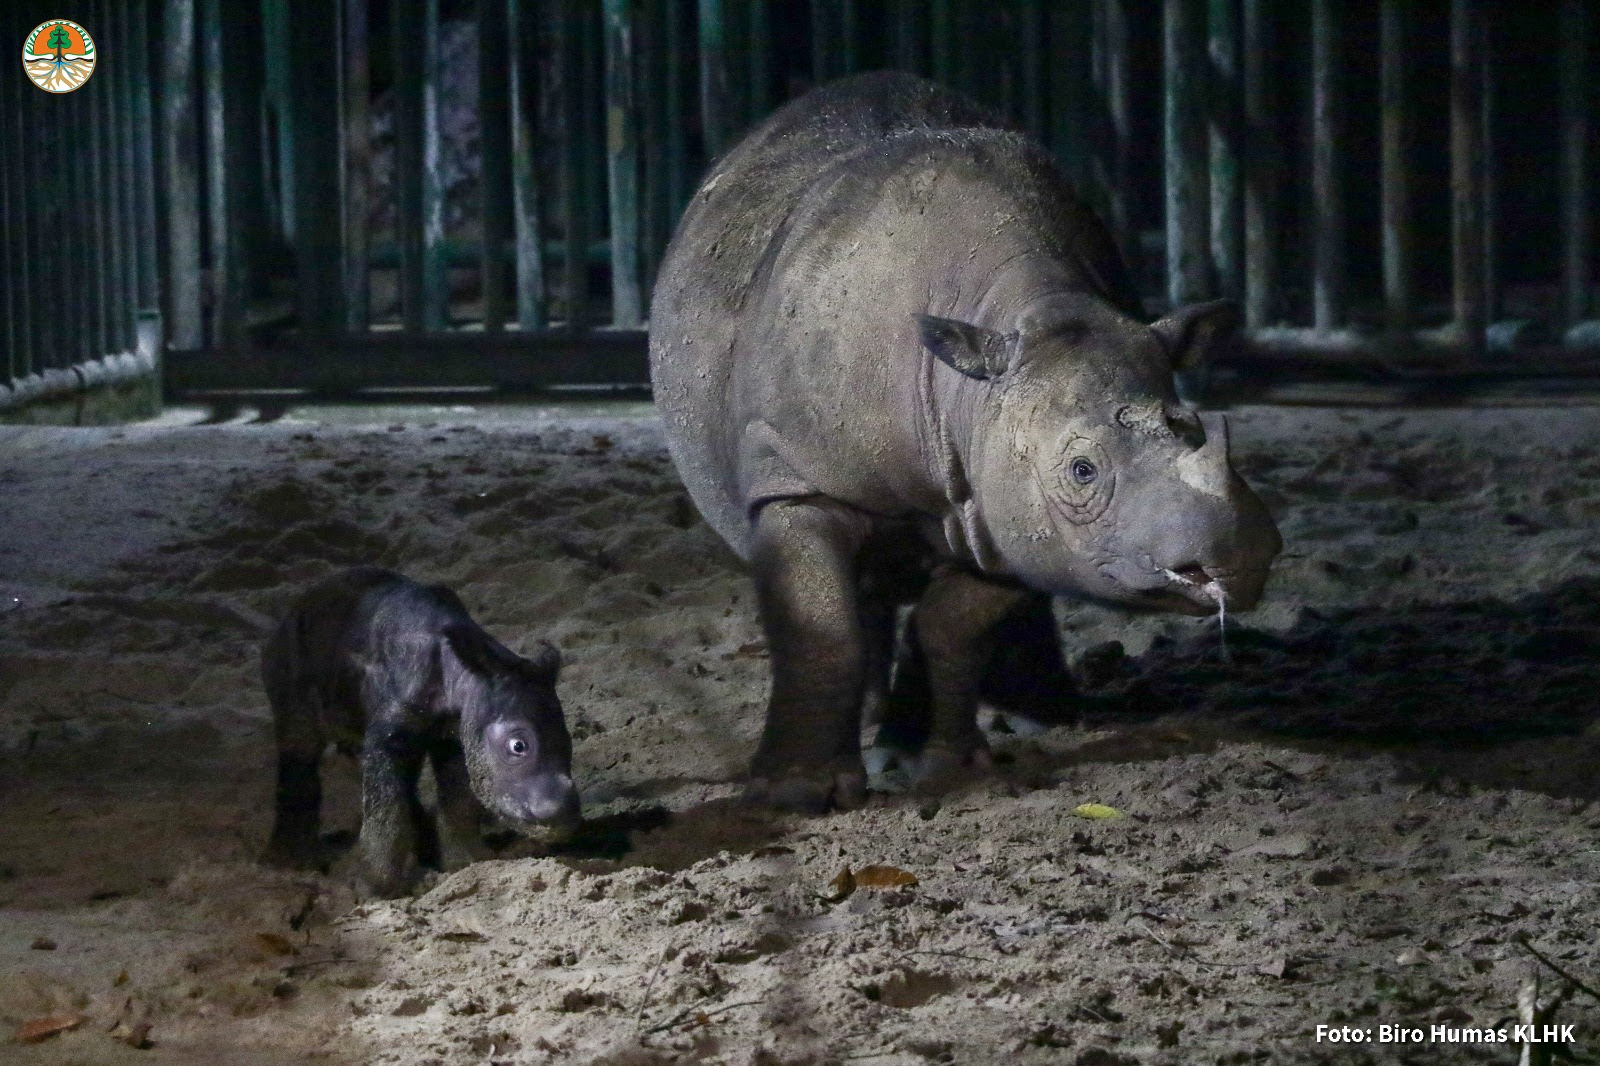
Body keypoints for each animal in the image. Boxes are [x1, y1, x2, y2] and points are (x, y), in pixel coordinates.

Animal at [262, 569, 582, 889]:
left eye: (568, 740)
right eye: (518, 746)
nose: (563, 819)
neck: (465, 672)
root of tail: (294, 610)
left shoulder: (459, 730)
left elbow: (457, 795)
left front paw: (468, 863)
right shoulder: (391, 723)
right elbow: (386, 806)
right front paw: (378, 887)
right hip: (289, 659)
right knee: (300, 746)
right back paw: (294, 864)